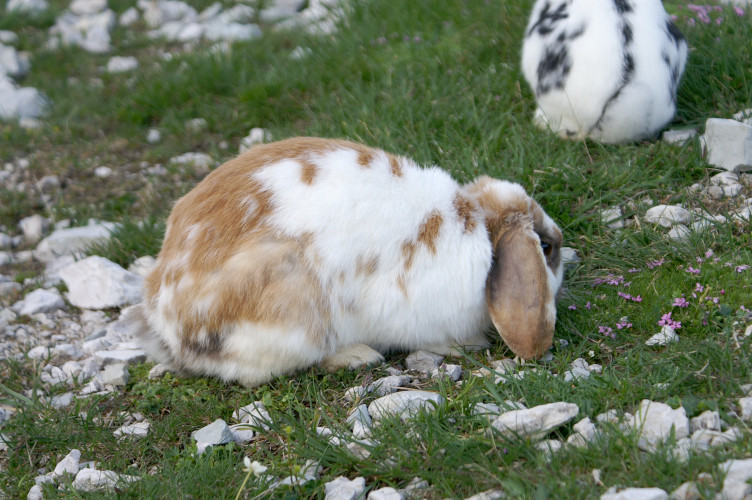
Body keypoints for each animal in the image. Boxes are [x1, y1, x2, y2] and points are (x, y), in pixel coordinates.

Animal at [133, 137, 564, 387]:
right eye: (545, 248)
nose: (564, 246)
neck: (479, 227)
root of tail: (167, 323)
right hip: (292, 316)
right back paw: (358, 355)